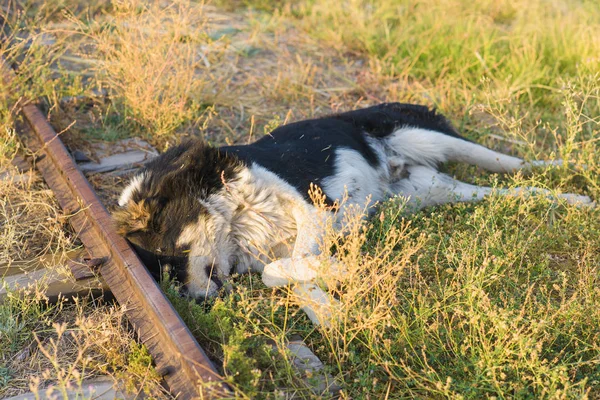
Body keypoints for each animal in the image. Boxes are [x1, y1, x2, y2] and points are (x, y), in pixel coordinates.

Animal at [112, 102, 592, 324]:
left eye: (174, 258)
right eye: (164, 277)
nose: (196, 303)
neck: (236, 218)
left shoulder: (313, 208)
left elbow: (288, 268)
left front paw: (344, 272)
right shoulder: (282, 246)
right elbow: (289, 277)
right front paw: (334, 312)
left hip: (428, 138)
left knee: (511, 162)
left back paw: (570, 172)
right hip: (428, 191)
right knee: (506, 191)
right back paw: (572, 200)